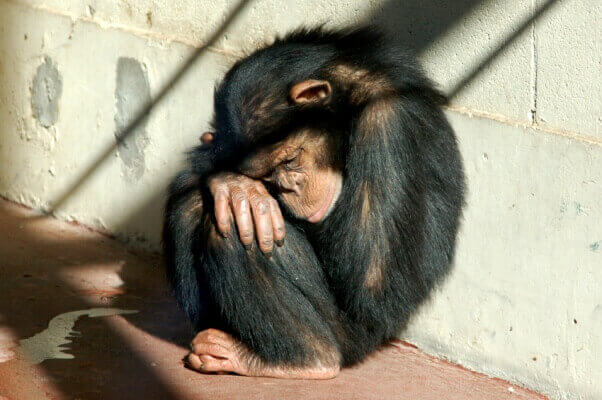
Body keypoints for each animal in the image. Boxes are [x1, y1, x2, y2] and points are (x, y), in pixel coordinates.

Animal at [163, 27, 464, 378]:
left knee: (234, 229)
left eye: (289, 160)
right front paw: (231, 181)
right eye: (267, 177)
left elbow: (370, 281)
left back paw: (308, 358)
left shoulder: (387, 125)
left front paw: (237, 186)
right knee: (190, 202)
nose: (287, 188)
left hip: (351, 338)